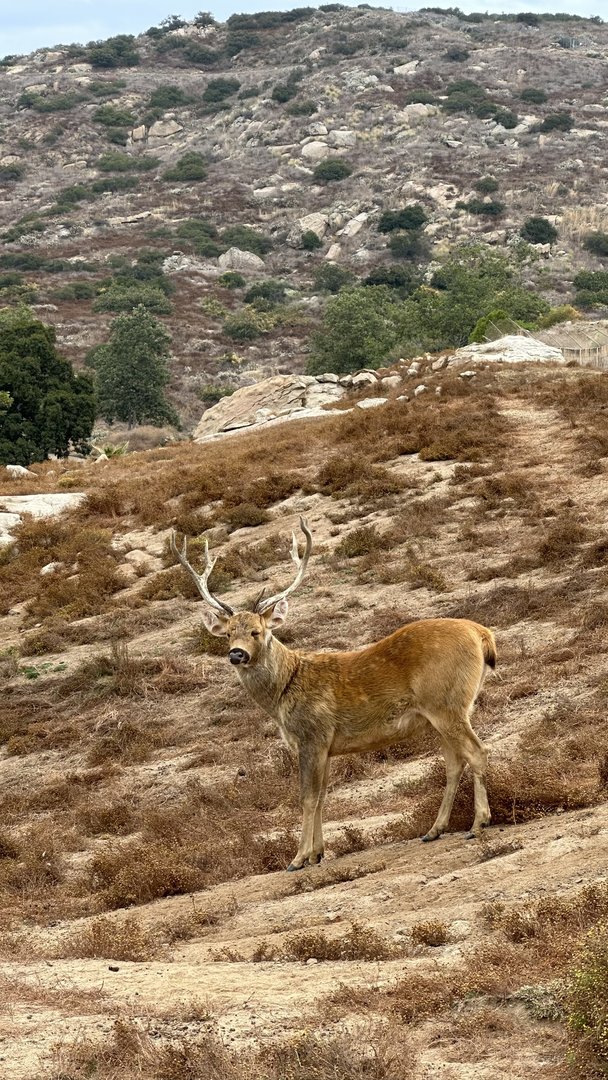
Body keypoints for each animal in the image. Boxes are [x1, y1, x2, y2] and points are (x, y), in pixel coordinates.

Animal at [171, 518, 496, 872]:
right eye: (229, 633)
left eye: (257, 631)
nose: (236, 654)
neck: (285, 689)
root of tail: (482, 633)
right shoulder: (327, 746)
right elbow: (323, 796)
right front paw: (318, 853)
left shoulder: (312, 735)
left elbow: (307, 797)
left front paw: (298, 858)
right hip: (442, 712)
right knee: (454, 762)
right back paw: (434, 830)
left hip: (446, 702)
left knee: (477, 751)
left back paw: (479, 823)